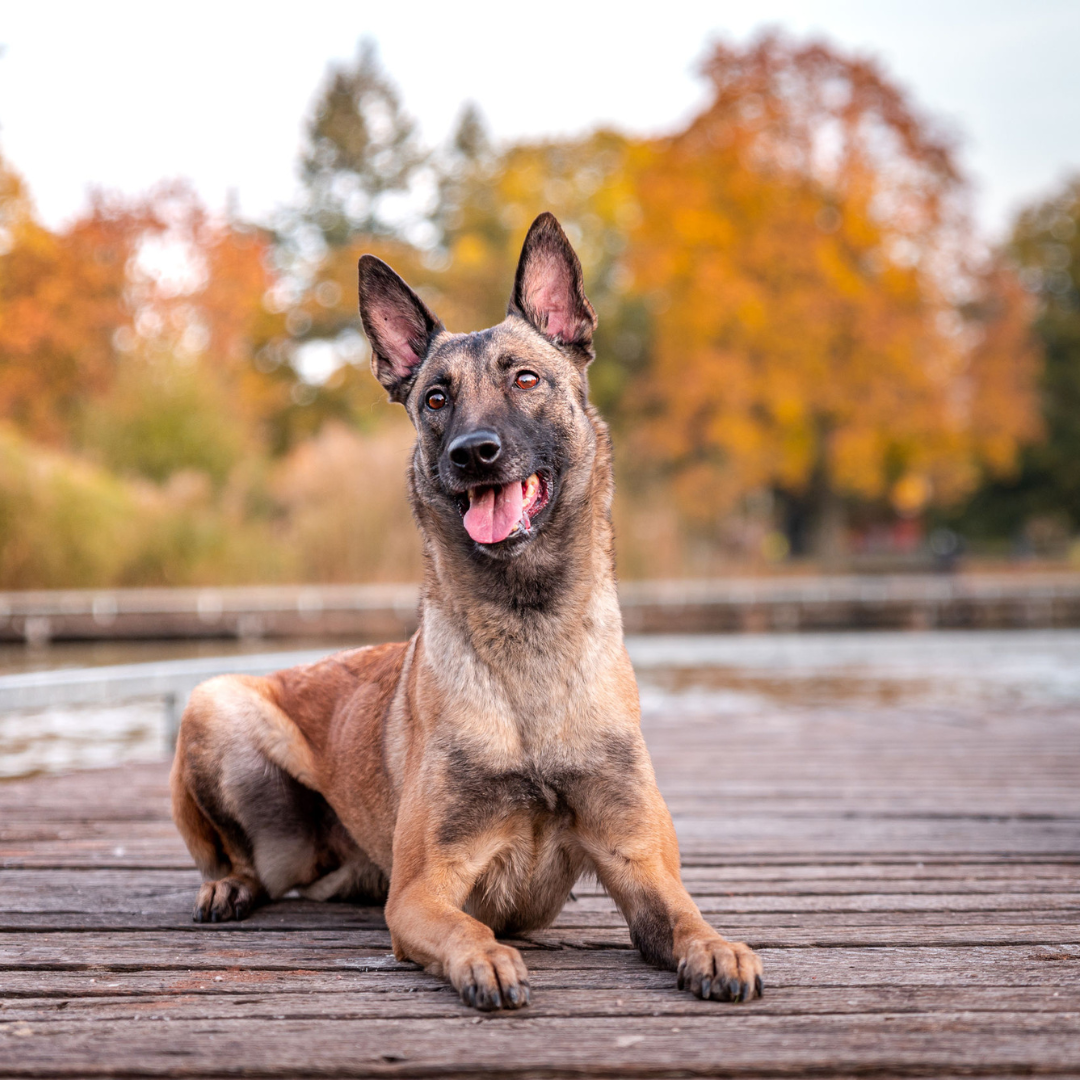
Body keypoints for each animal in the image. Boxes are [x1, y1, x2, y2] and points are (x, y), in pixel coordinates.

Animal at [170, 212, 760, 1010]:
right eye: (435, 399)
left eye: (525, 378)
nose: (473, 453)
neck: (528, 632)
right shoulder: (422, 891)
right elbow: (467, 926)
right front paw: (487, 960)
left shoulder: (638, 861)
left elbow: (683, 915)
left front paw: (717, 947)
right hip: (214, 702)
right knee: (235, 860)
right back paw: (227, 886)